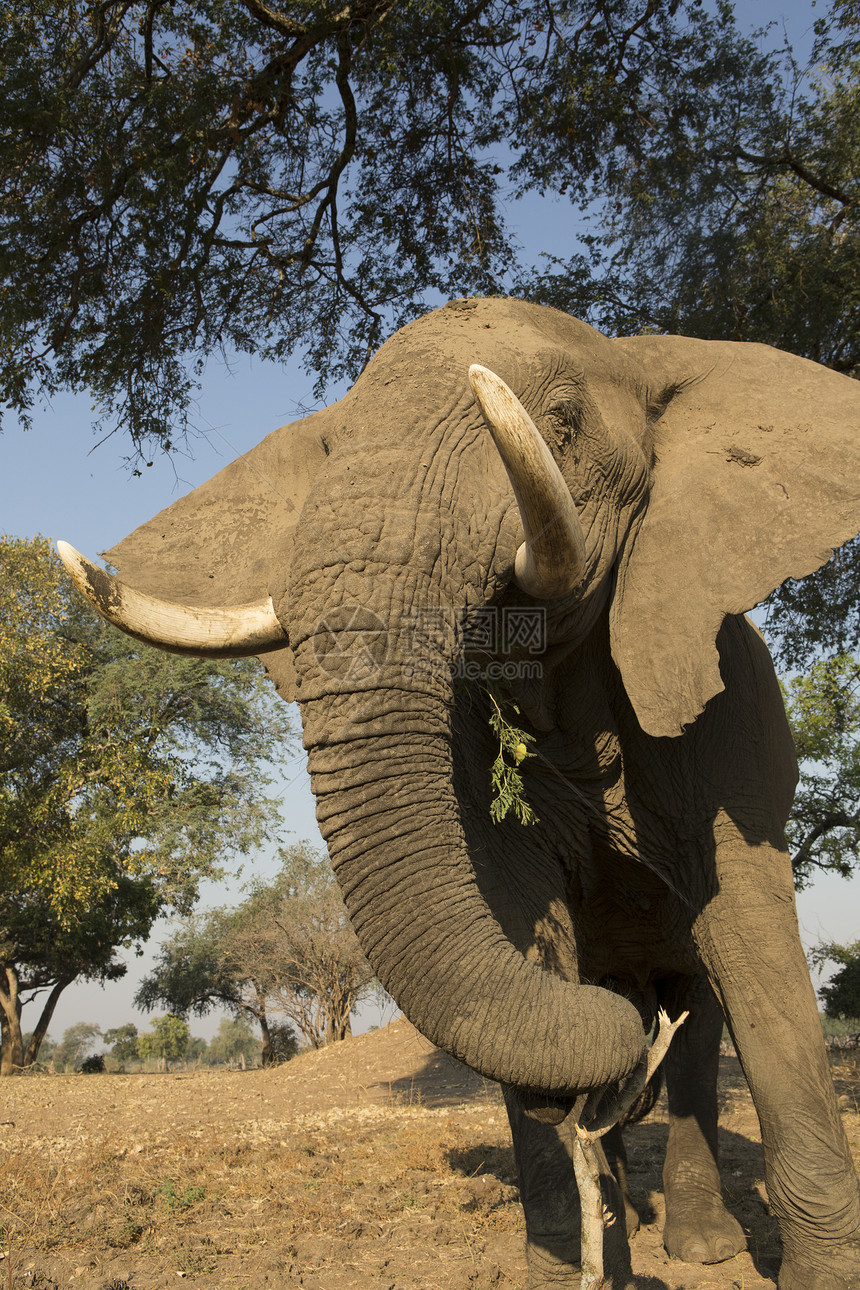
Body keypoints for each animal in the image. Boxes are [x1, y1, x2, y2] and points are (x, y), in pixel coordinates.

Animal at [60, 296, 860, 1284]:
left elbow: (750, 939)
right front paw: (563, 1260)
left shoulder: (724, 711)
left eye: (562, 424)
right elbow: (522, 912)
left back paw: (701, 1241)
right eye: (330, 449)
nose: (612, 1061)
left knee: (703, 1006)